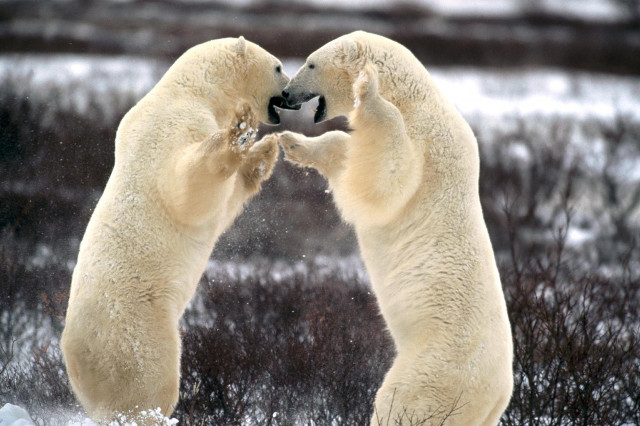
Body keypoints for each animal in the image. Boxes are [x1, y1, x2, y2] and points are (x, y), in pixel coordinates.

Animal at [60, 36, 292, 423]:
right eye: (278, 67)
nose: (290, 93)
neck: (194, 90)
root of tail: (72, 357)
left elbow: (227, 201)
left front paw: (265, 150)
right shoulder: (172, 127)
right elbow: (189, 188)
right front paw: (240, 131)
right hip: (134, 328)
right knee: (149, 382)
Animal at [277, 31, 513, 425]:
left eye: (310, 63)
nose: (285, 95)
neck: (414, 101)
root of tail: (497, 397)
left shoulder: (429, 146)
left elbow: (389, 177)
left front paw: (367, 88)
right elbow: (349, 152)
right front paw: (293, 143)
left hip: (435, 370)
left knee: (400, 403)